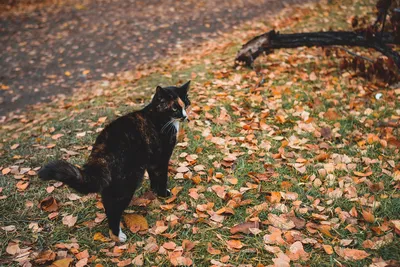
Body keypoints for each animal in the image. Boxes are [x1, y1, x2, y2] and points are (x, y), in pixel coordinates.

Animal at [38, 81, 191, 243]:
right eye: (174, 108)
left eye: (186, 103)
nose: (185, 116)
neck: (157, 115)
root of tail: (101, 152)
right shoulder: (161, 158)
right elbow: (161, 177)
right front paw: (164, 194)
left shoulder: (152, 160)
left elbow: (154, 177)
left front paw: (155, 192)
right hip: (128, 180)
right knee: (114, 208)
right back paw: (117, 235)